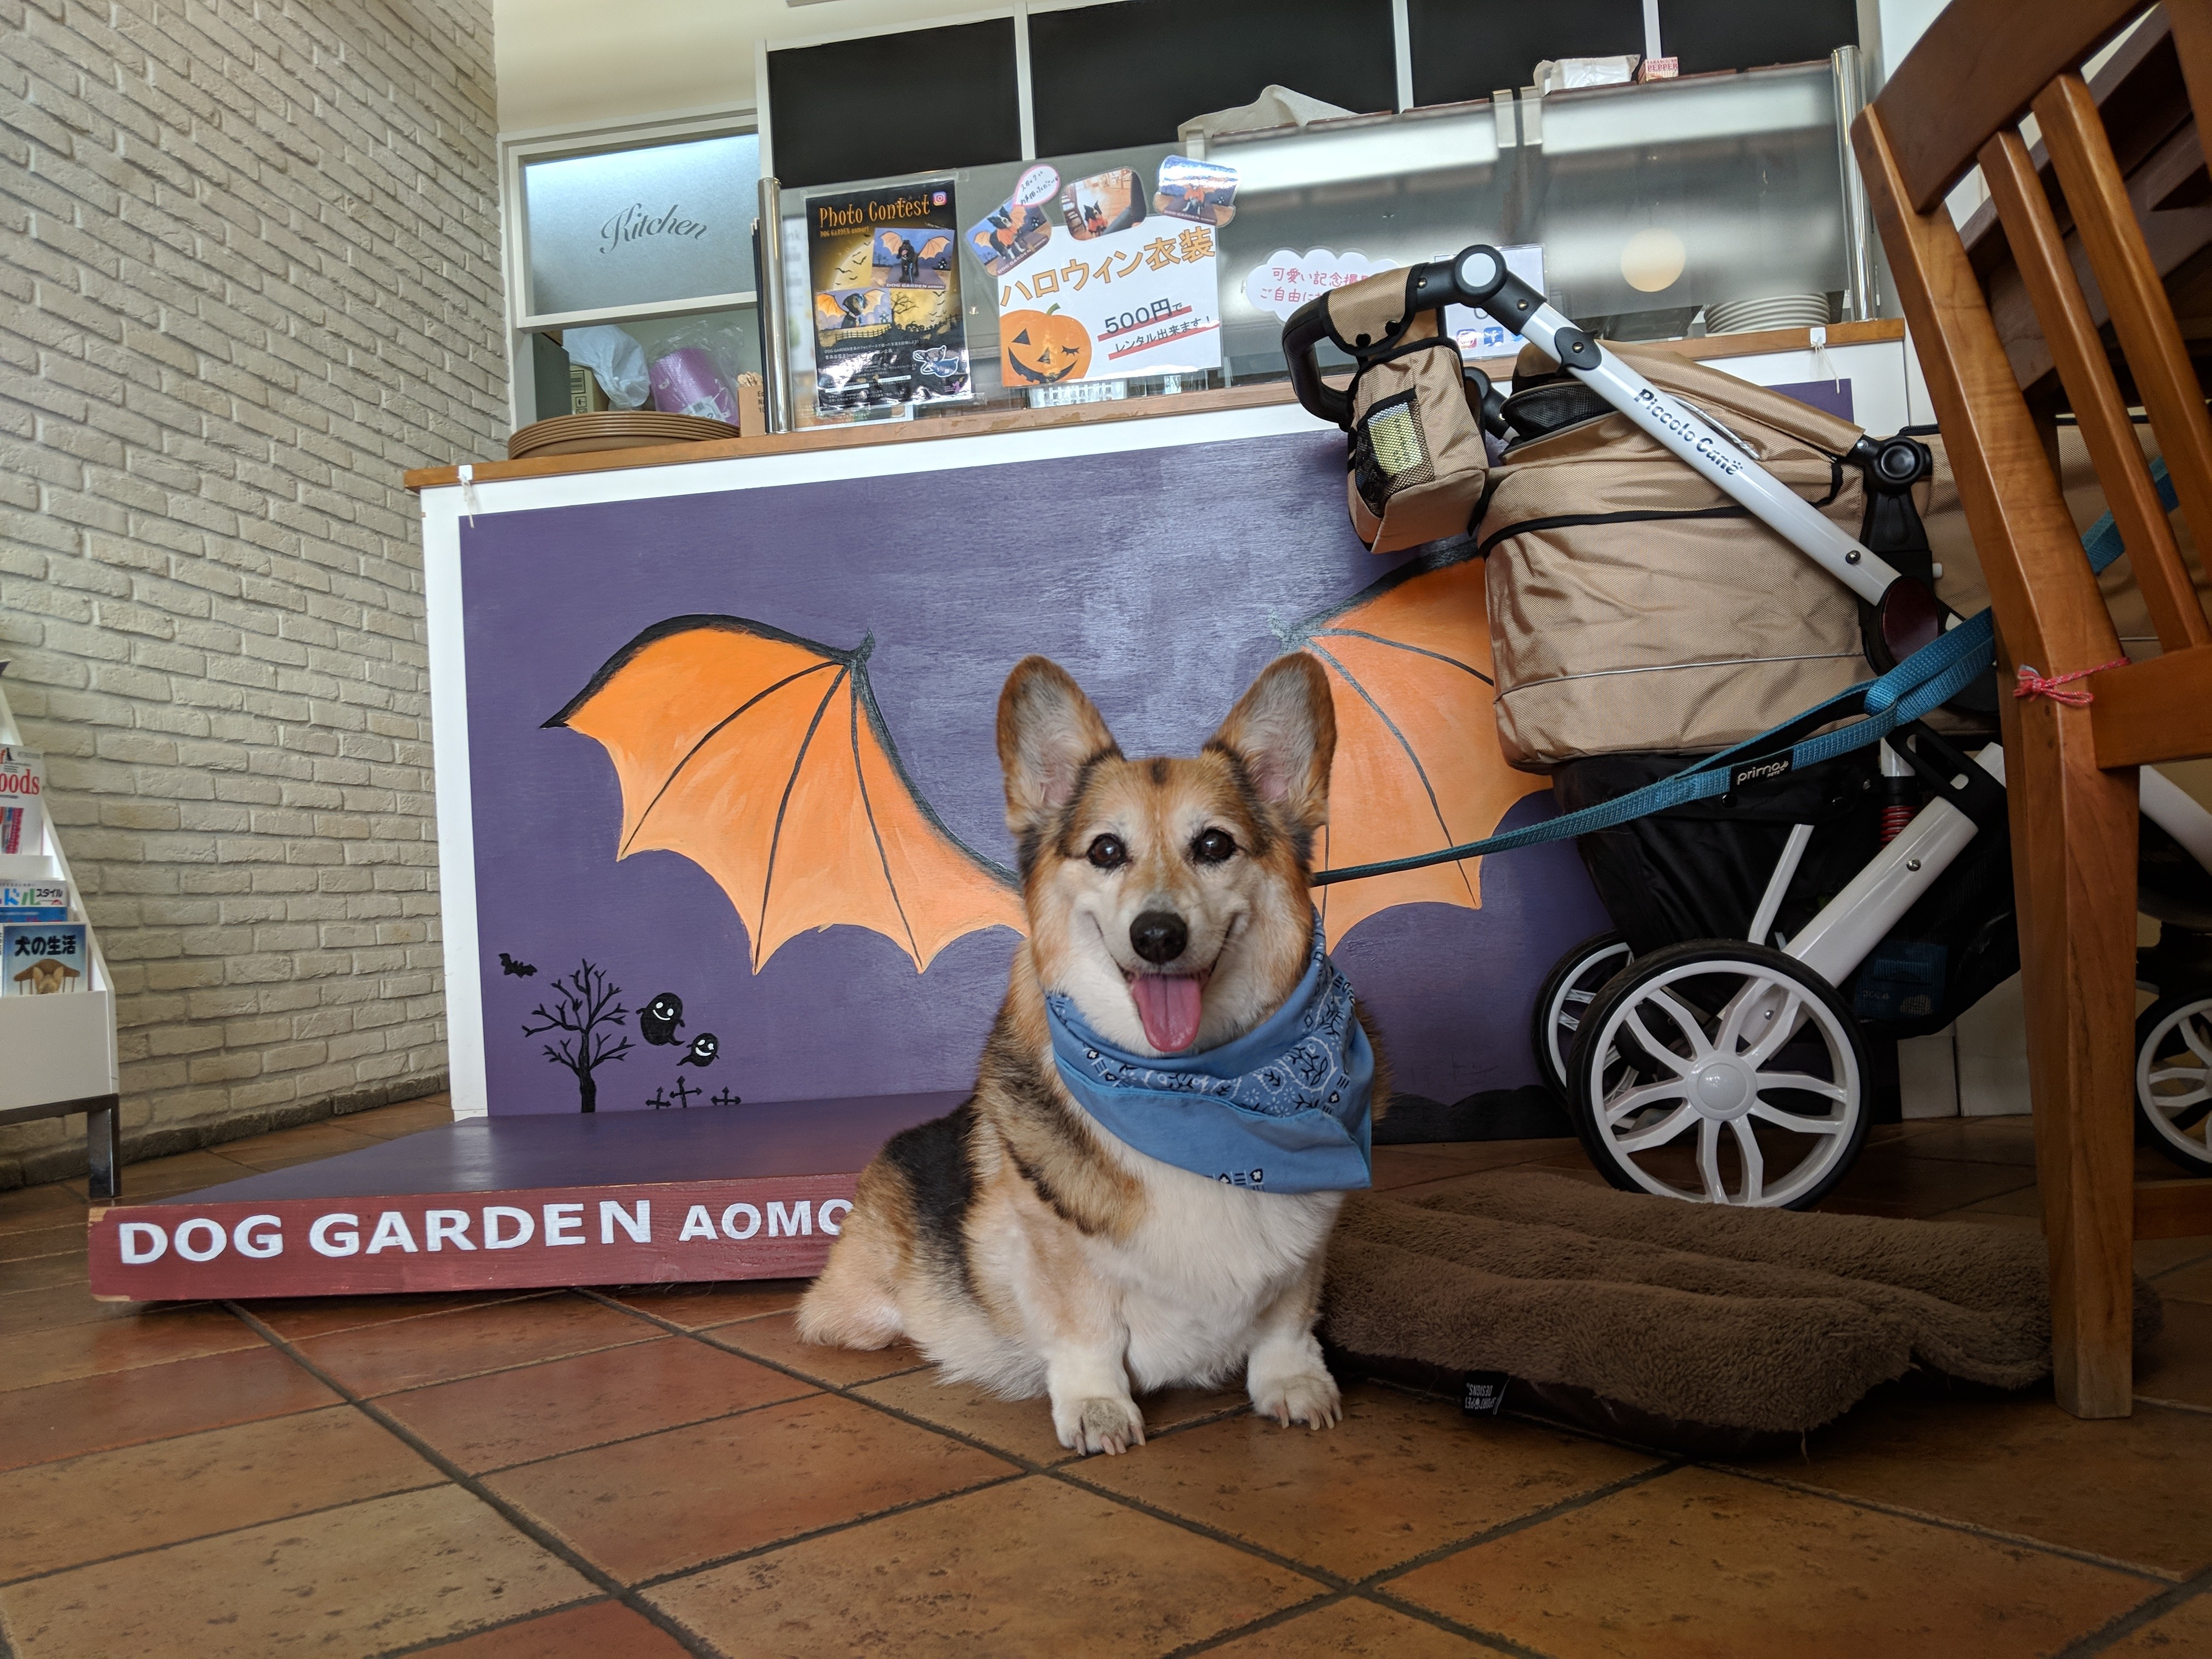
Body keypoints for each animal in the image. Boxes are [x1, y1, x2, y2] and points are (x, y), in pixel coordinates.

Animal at [796, 650, 1380, 1451]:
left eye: (1214, 845)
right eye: (1106, 850)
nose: (1157, 936)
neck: (1195, 1091)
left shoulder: (1305, 1248)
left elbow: (1286, 1323)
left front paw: (1293, 1384)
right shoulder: (1055, 1252)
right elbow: (1086, 1334)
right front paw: (1098, 1407)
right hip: (863, 1313)